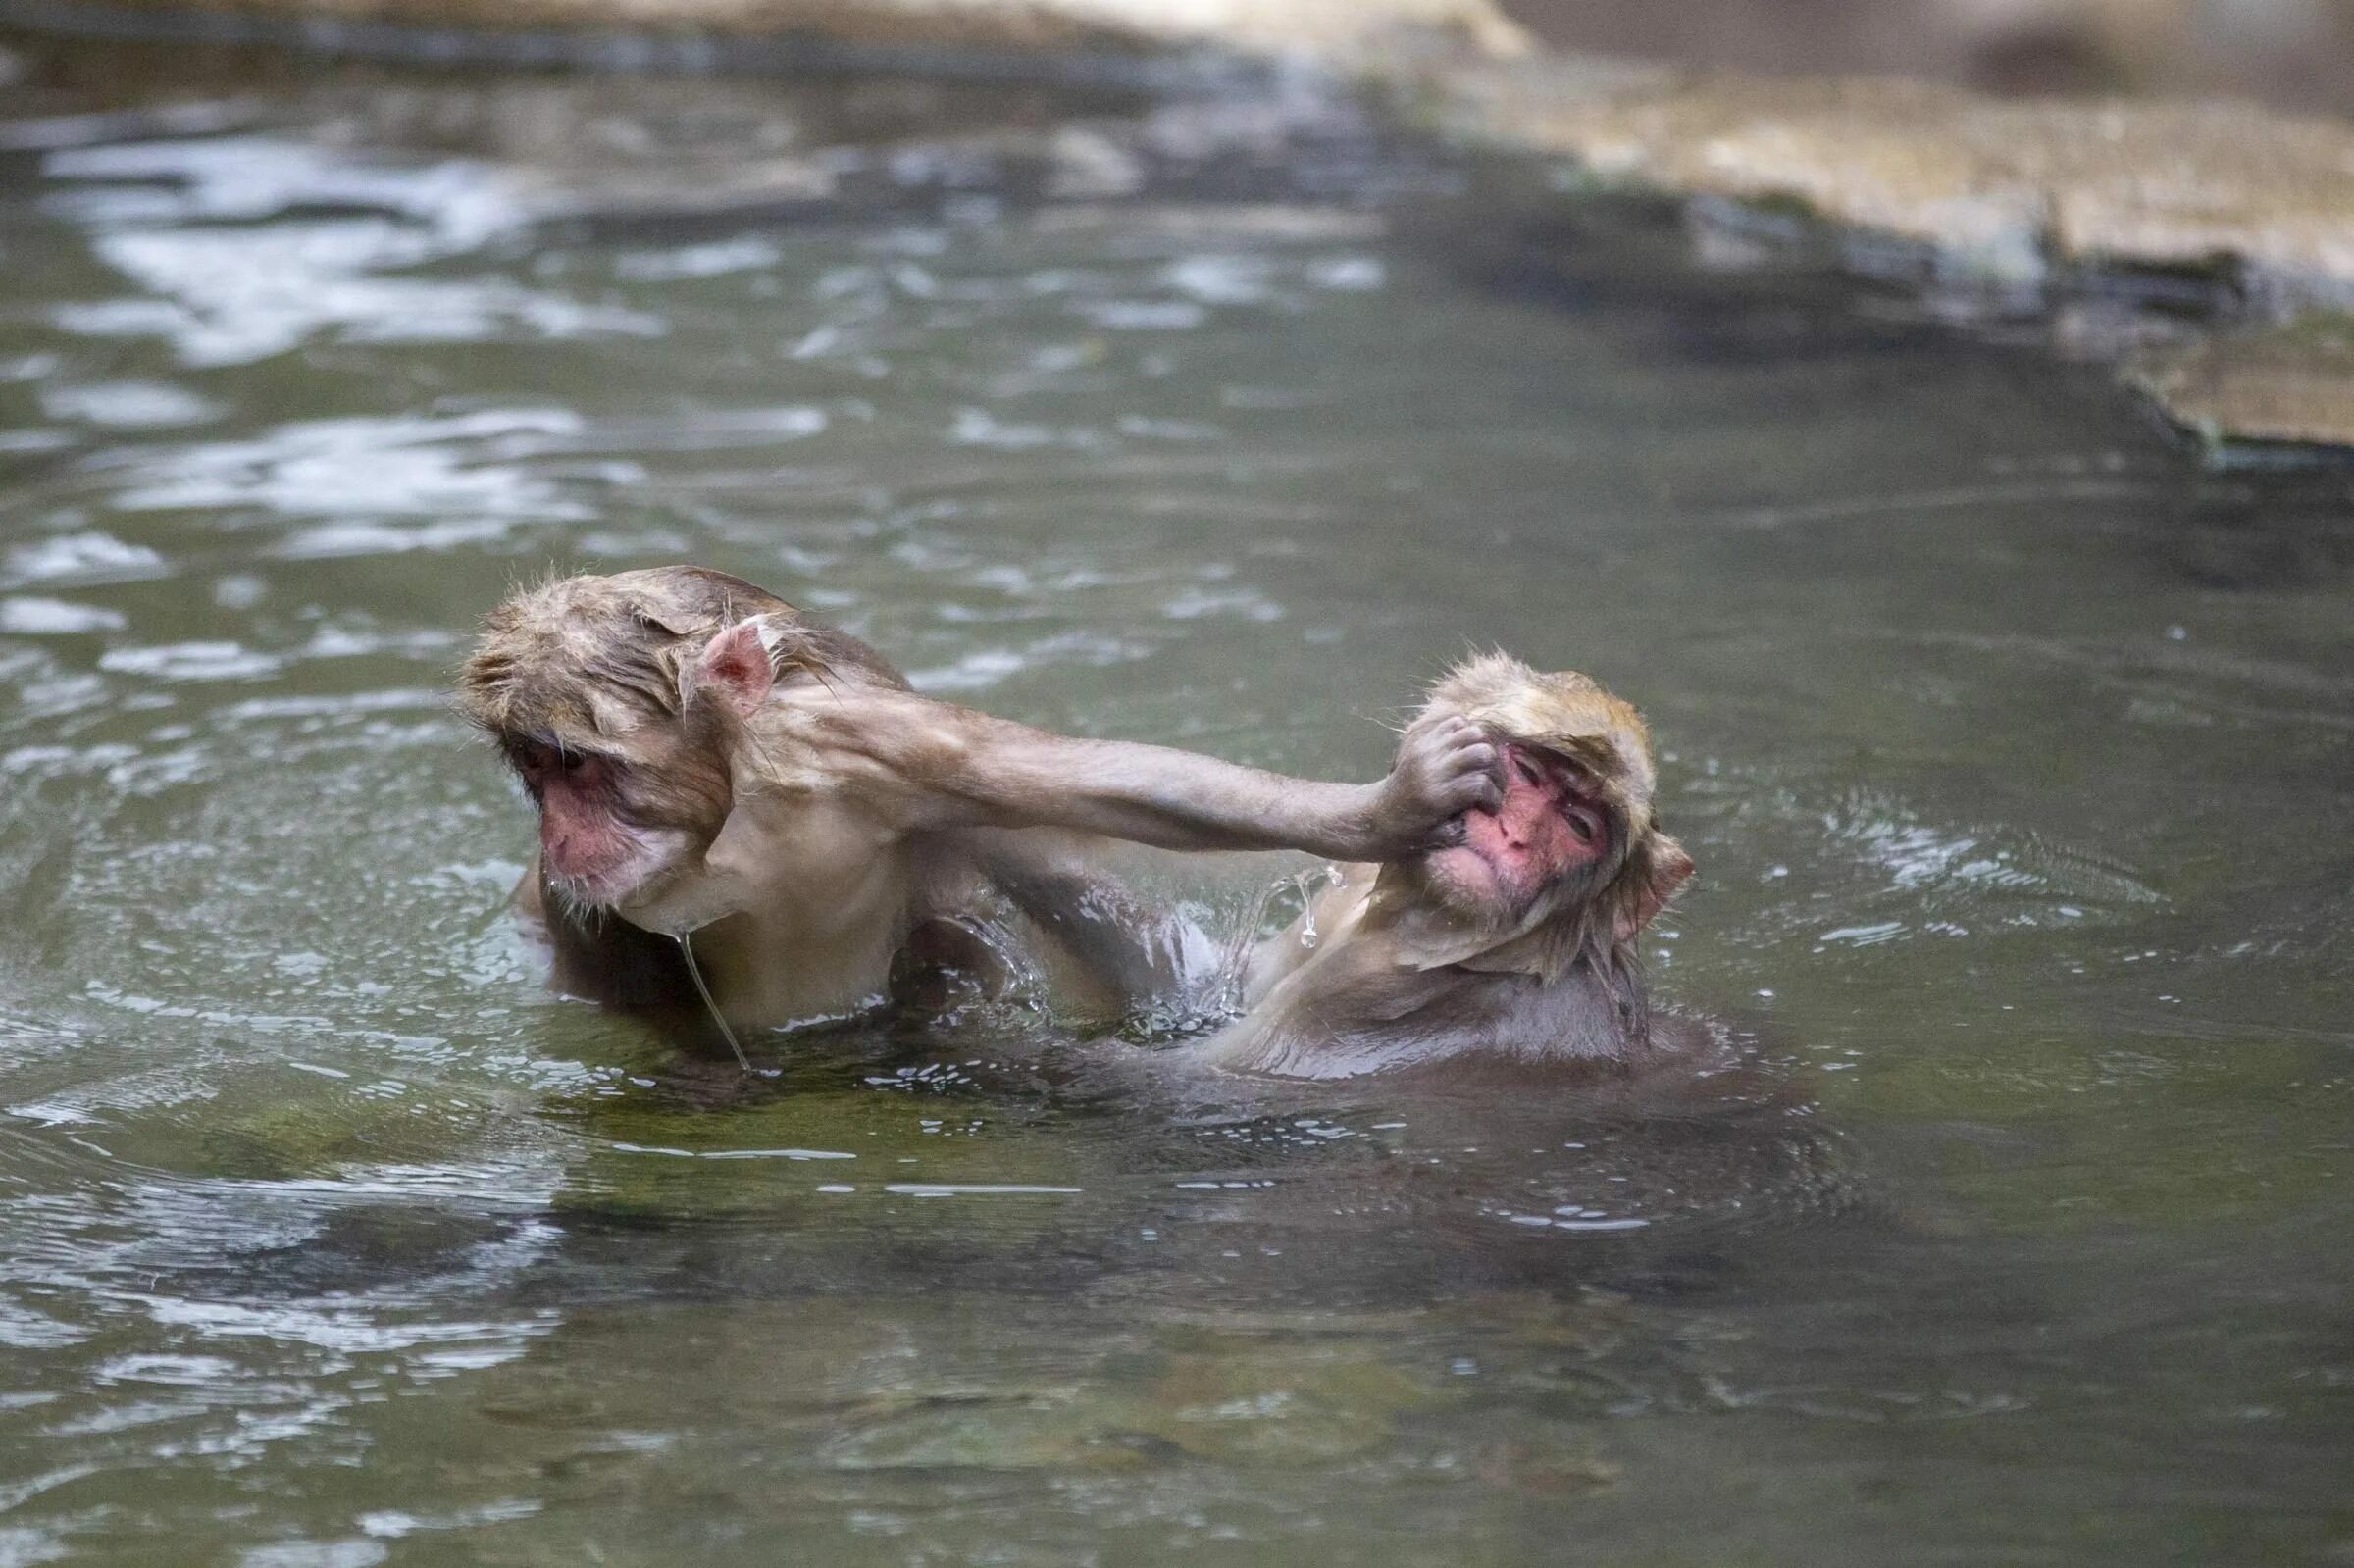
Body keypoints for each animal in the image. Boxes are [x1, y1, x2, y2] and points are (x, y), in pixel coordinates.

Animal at [449, 565, 1497, 1036]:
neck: (729, 815)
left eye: (579, 766)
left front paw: (1386, 810)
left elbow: (1116, 785)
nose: (561, 830)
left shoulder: (872, 745)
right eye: (536, 769)